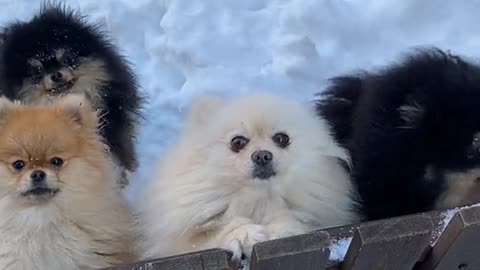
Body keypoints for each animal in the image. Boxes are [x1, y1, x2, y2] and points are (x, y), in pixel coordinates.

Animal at [141, 93, 358, 262]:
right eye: (238, 142)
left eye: (281, 138)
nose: (262, 155)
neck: (258, 198)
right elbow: (213, 234)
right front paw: (245, 235)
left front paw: (282, 231)